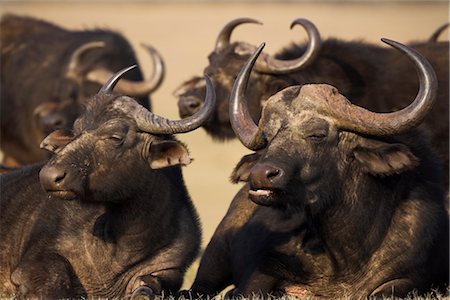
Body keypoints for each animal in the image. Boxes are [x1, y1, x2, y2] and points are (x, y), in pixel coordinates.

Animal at [0, 66, 214, 300]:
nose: (48, 176)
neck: (123, 240)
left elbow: (149, 285)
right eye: (76, 131)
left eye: (116, 136)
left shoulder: (170, 270)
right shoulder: (36, 261)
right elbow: (55, 281)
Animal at [185, 41, 448, 300]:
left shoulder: (409, 278)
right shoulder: (264, 266)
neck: (347, 252)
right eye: (269, 137)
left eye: (317, 135)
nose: (260, 175)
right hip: (215, 254)